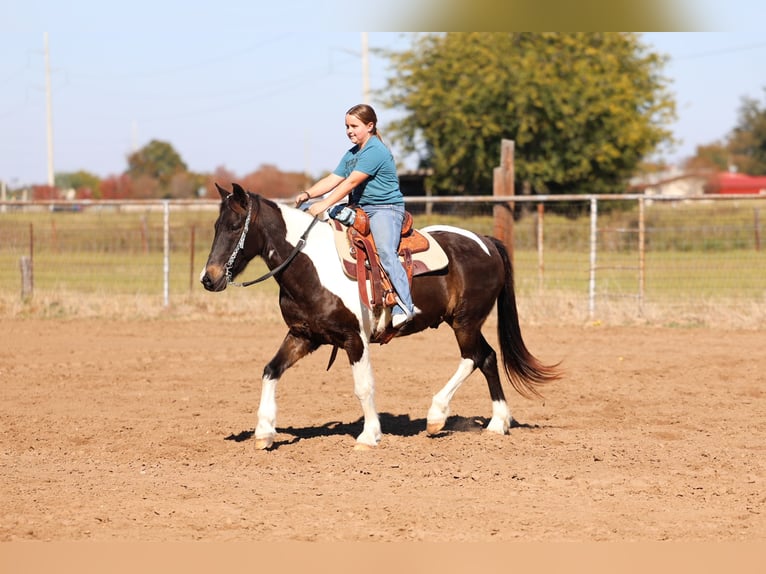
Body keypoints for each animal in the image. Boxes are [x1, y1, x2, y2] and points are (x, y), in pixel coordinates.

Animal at [200, 182, 560, 450]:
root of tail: (485, 241)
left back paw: (438, 416)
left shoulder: (354, 339)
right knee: (486, 357)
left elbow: (363, 387)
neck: (310, 264)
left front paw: (369, 435)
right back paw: (497, 423)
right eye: (215, 226)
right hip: (464, 322)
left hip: (465, 322)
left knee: (474, 357)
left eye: (235, 226)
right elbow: (270, 370)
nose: (209, 278)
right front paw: (264, 432)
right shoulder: (303, 336)